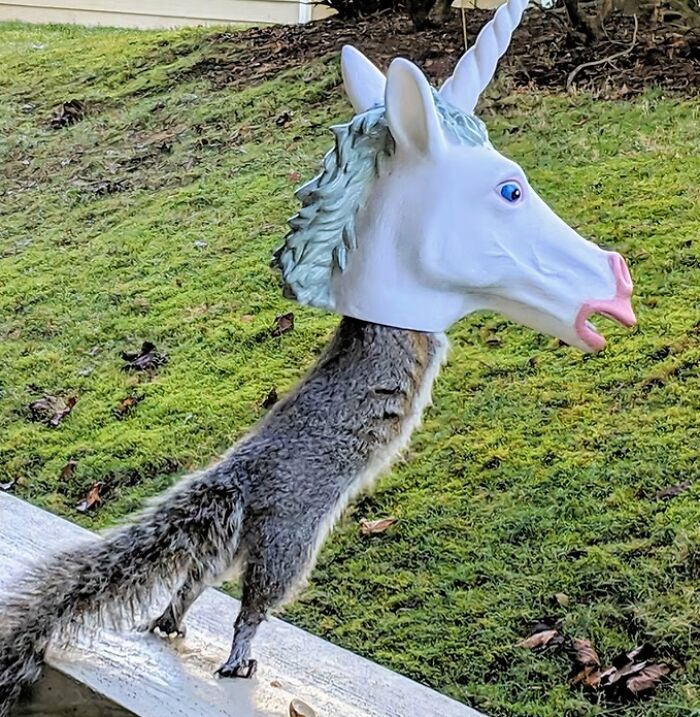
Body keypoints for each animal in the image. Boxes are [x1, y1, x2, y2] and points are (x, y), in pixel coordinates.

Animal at [0, 319, 448, 714]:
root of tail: (238, 479)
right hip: (287, 543)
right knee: (253, 606)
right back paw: (238, 655)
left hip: (231, 545)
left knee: (193, 582)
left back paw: (171, 618)